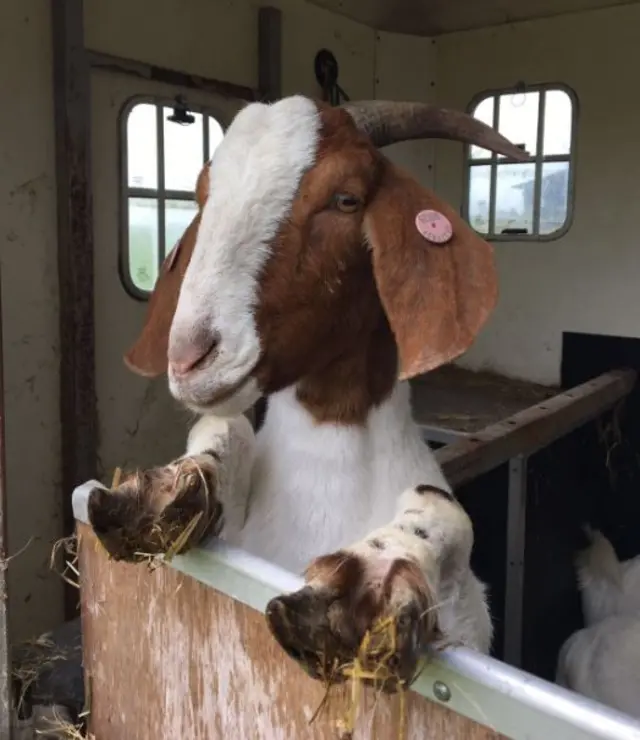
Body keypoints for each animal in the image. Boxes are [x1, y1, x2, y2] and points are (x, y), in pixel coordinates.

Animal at [87, 97, 528, 688]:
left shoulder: (469, 622)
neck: (327, 464)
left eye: (347, 199)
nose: (189, 356)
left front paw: (372, 580)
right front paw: (164, 491)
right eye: (203, 194)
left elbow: (443, 509)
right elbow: (224, 426)